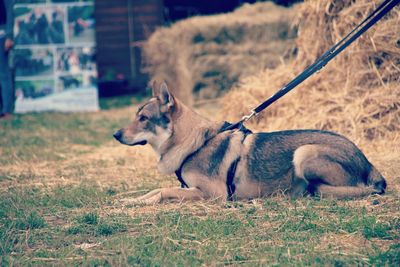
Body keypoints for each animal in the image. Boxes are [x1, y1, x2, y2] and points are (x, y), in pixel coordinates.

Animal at [111, 82, 384, 205]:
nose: (115, 134)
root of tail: (368, 163)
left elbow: (165, 191)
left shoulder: (214, 193)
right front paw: (131, 201)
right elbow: (156, 190)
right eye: (136, 115)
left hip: (303, 153)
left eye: (143, 118)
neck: (193, 144)